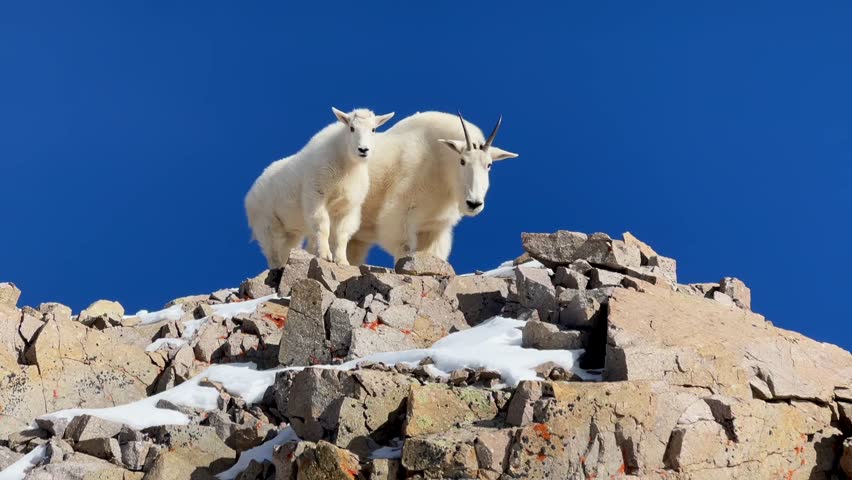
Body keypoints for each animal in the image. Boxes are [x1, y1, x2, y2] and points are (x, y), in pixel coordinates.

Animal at [245, 106, 394, 268]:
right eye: (352, 128)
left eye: (373, 129)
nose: (363, 150)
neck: (347, 164)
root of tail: (249, 195)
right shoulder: (316, 196)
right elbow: (323, 227)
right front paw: (325, 255)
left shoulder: (348, 208)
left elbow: (342, 236)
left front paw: (342, 261)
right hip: (266, 224)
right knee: (273, 253)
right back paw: (277, 268)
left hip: (291, 231)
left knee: (285, 249)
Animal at [346, 111, 520, 264]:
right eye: (462, 161)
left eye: (489, 165)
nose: (474, 203)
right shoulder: (400, 214)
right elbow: (404, 247)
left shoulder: (433, 228)